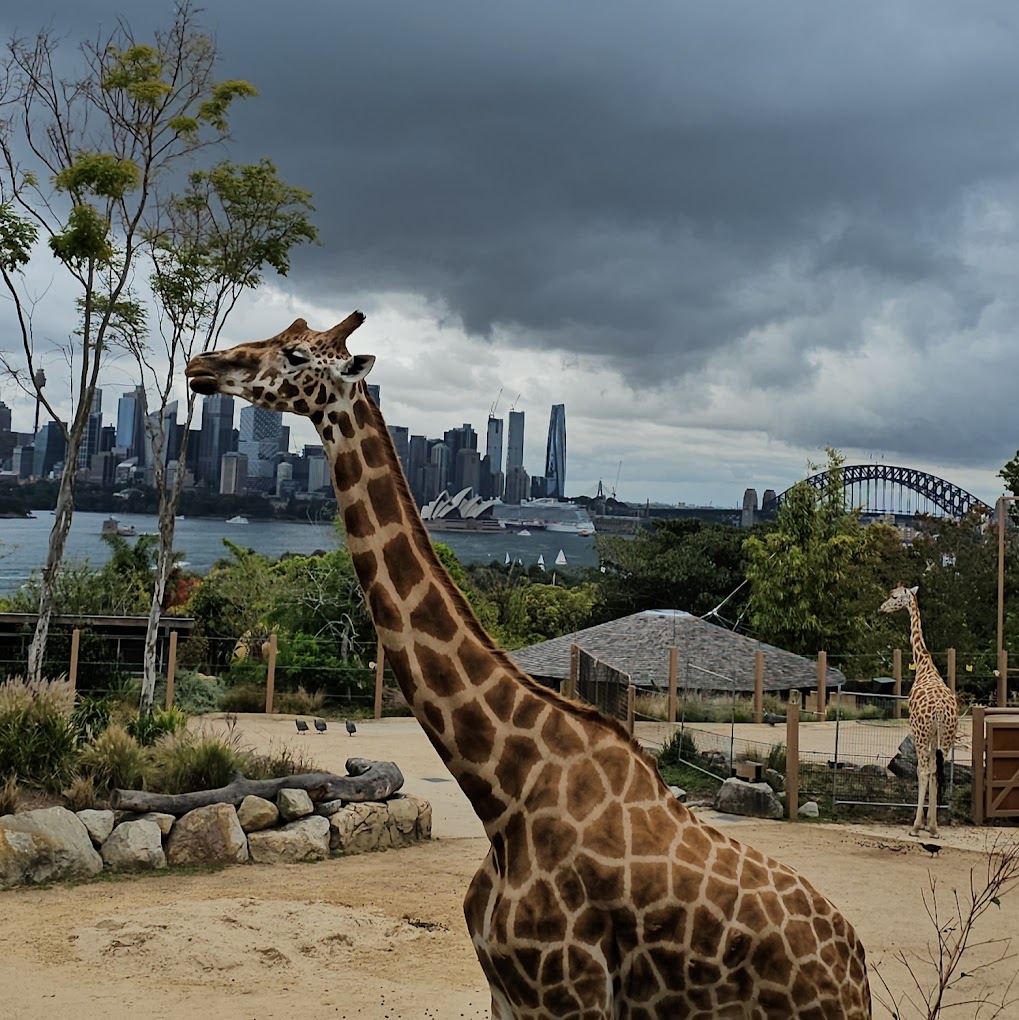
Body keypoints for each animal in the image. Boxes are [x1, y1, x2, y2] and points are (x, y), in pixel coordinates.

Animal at [186, 313, 871, 1019]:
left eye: (296, 354)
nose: (202, 365)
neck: (505, 795)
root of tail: (856, 964)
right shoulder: (505, 994)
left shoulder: (568, 996)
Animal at [879, 584, 959, 838]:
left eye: (894, 596)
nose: (882, 607)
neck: (924, 665)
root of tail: (941, 711)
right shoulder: (936, 736)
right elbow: (935, 772)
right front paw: (929, 824)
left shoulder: (918, 731)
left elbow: (922, 771)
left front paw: (921, 824)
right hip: (947, 736)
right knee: (937, 770)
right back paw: (933, 827)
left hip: (921, 733)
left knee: (923, 771)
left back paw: (915, 826)